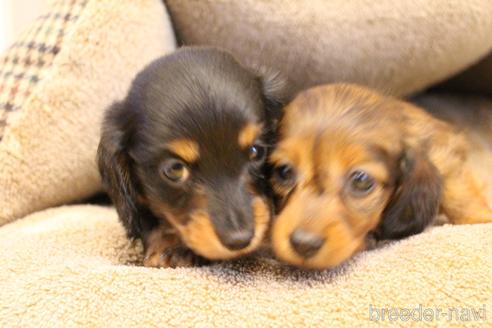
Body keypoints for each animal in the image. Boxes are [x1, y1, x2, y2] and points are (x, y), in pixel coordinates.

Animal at [270, 82, 492, 270]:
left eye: (361, 180)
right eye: (284, 171)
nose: (303, 244)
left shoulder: (444, 155)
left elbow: (460, 196)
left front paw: (482, 217)